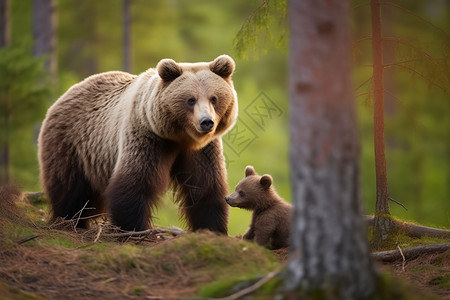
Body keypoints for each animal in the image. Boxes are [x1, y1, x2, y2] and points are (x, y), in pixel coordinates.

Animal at [37, 55, 239, 233]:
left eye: (214, 98)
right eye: (191, 99)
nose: (206, 122)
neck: (179, 137)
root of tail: (67, 93)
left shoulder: (202, 150)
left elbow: (206, 187)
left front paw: (212, 228)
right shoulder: (146, 137)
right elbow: (134, 183)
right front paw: (133, 228)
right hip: (72, 143)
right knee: (69, 188)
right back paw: (70, 221)